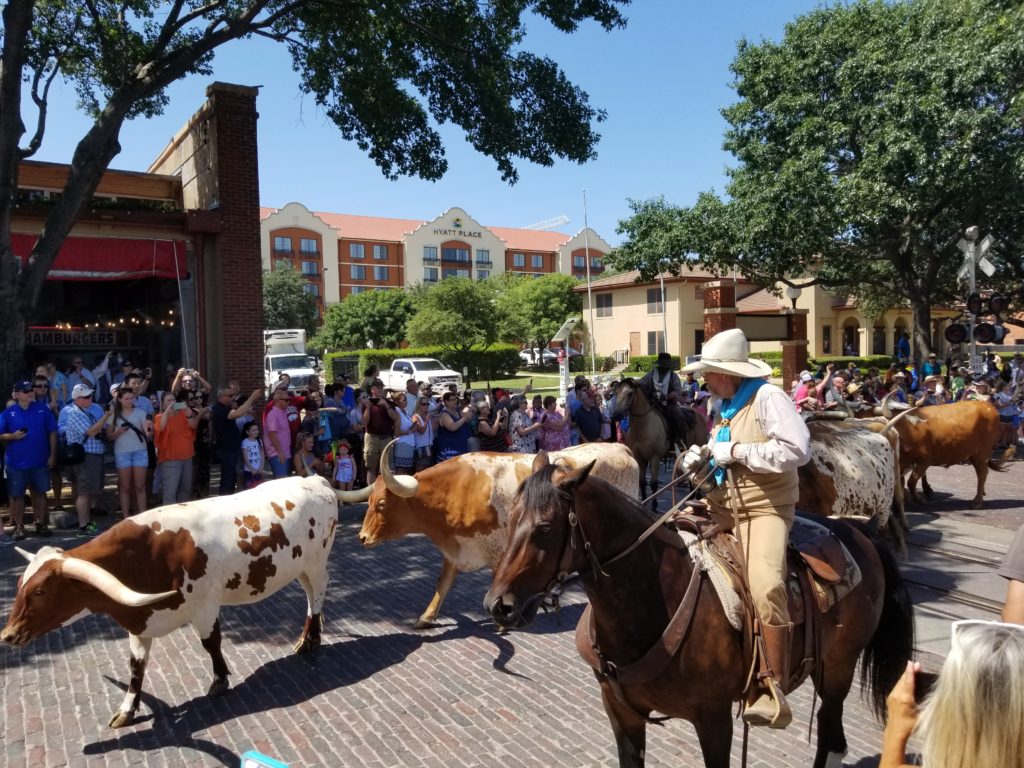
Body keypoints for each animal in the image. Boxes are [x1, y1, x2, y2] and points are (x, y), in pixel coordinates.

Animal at [483, 456, 917, 768]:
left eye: (544, 528)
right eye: (510, 519)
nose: (498, 605)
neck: (652, 601)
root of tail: (860, 533)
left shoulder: (714, 718)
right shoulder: (622, 713)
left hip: (838, 667)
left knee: (829, 733)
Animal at [610, 378, 708, 512]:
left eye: (630, 393)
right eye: (616, 392)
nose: (616, 415)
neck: (643, 427)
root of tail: (700, 416)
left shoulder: (654, 458)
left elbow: (653, 484)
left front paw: (654, 506)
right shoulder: (640, 459)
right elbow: (642, 482)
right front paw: (644, 503)